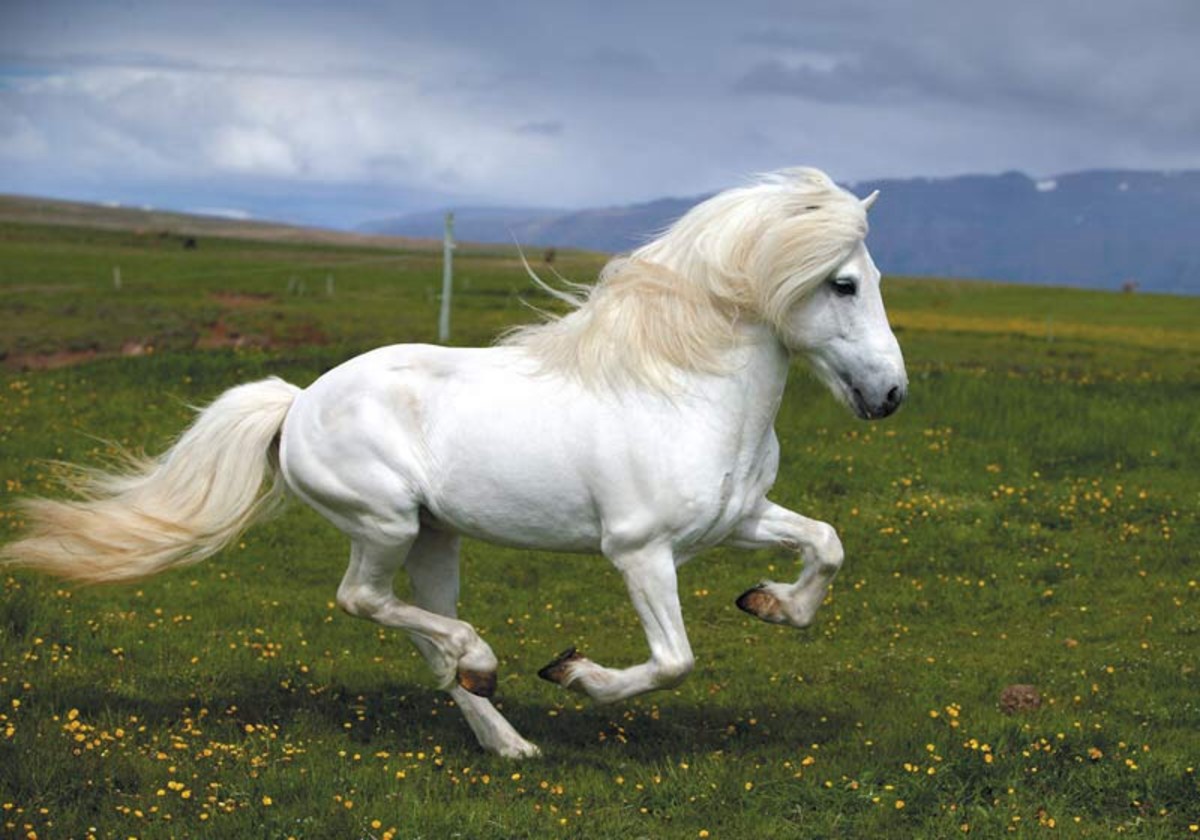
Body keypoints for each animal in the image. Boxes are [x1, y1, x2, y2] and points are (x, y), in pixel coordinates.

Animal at [2, 168, 906, 758]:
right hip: (385, 521)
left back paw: (509, 740)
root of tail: (296, 402)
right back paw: (488, 665)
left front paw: (772, 604)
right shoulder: (639, 551)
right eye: (845, 284)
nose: (890, 395)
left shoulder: (737, 519)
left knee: (425, 643)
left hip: (436, 539)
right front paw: (576, 673)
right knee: (365, 601)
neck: (683, 390)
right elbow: (673, 662)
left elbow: (827, 543)